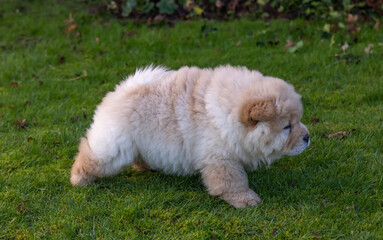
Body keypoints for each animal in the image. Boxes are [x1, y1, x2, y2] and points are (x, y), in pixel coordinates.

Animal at [71, 66, 312, 208]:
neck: (230, 114)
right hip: (114, 147)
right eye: (287, 127)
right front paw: (247, 199)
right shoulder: (220, 159)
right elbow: (233, 181)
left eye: (299, 120)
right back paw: (79, 178)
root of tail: (121, 90)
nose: (308, 137)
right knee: (88, 154)